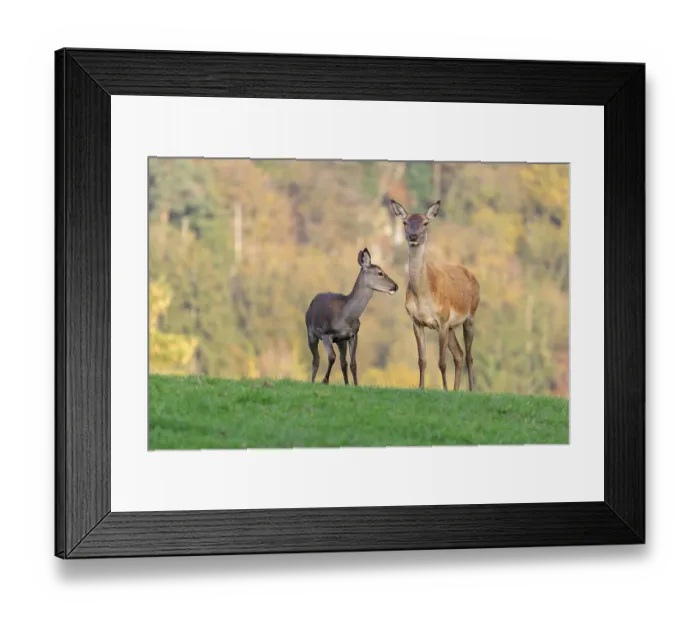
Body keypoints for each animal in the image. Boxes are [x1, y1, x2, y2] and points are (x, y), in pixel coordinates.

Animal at [305, 248, 399, 386]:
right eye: (380, 273)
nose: (395, 286)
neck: (346, 317)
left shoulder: (353, 334)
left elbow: (353, 363)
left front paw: (355, 385)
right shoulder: (326, 333)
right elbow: (331, 357)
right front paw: (324, 380)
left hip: (340, 341)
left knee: (343, 362)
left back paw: (346, 383)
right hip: (311, 333)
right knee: (316, 360)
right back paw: (312, 381)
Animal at [390, 199, 480, 392]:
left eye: (425, 223)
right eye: (405, 222)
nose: (413, 236)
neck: (423, 296)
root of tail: (473, 277)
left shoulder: (442, 320)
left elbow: (441, 362)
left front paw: (444, 389)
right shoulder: (417, 321)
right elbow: (422, 360)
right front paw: (421, 387)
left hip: (471, 315)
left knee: (469, 356)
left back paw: (470, 389)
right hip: (452, 327)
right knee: (459, 354)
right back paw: (456, 390)